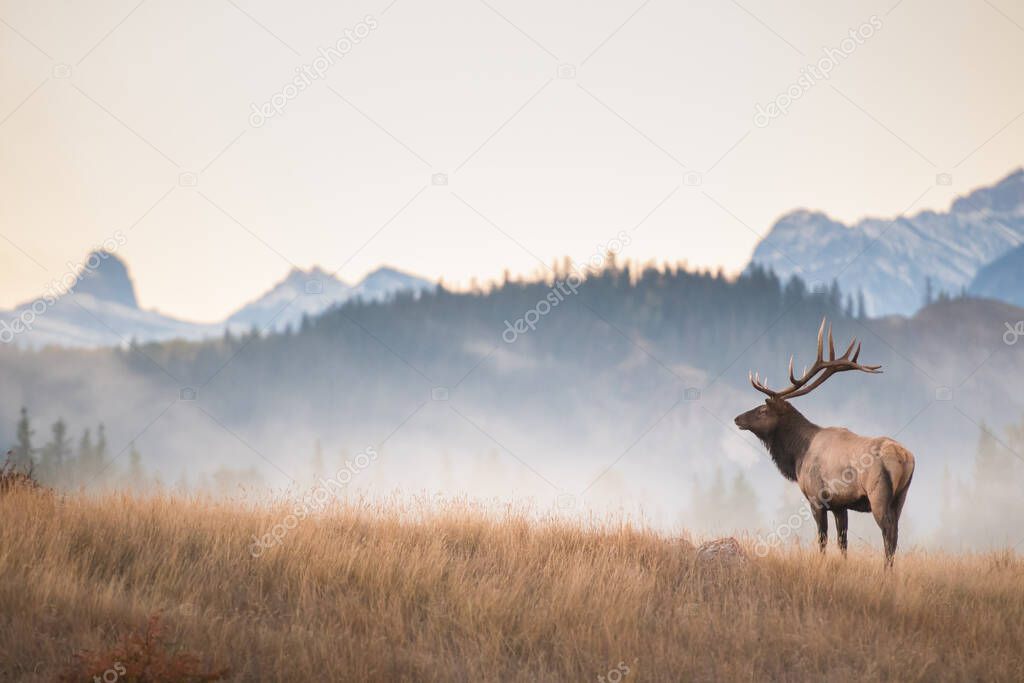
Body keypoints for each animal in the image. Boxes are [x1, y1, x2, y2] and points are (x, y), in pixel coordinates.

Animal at [733, 321, 917, 565]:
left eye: (762, 410)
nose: (737, 418)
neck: (797, 455)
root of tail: (905, 457)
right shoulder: (840, 504)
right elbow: (842, 542)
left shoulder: (816, 498)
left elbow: (822, 540)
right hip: (902, 496)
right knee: (895, 533)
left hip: (879, 493)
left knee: (888, 533)